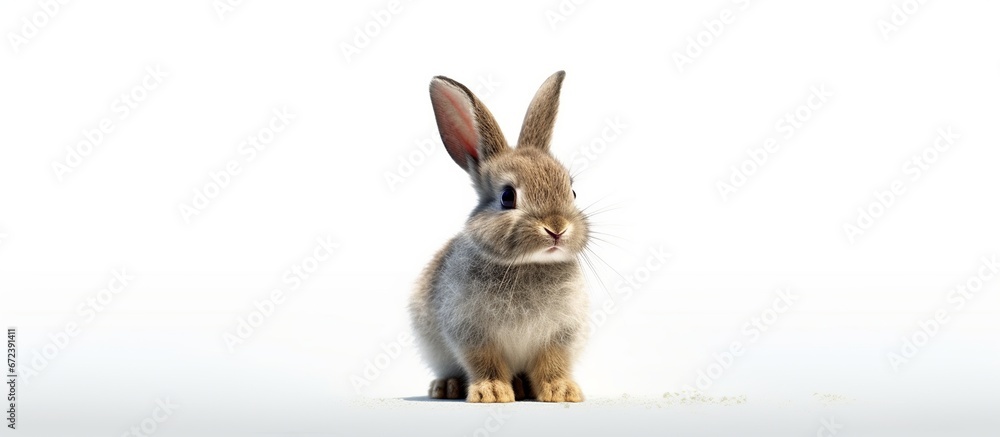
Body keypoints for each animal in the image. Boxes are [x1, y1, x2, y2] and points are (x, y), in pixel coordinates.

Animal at [409, 71, 590, 403]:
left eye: (571, 192)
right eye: (507, 197)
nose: (557, 228)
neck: (527, 264)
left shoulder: (560, 335)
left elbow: (552, 363)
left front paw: (562, 392)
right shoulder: (472, 333)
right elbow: (485, 361)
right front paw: (491, 392)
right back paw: (447, 387)